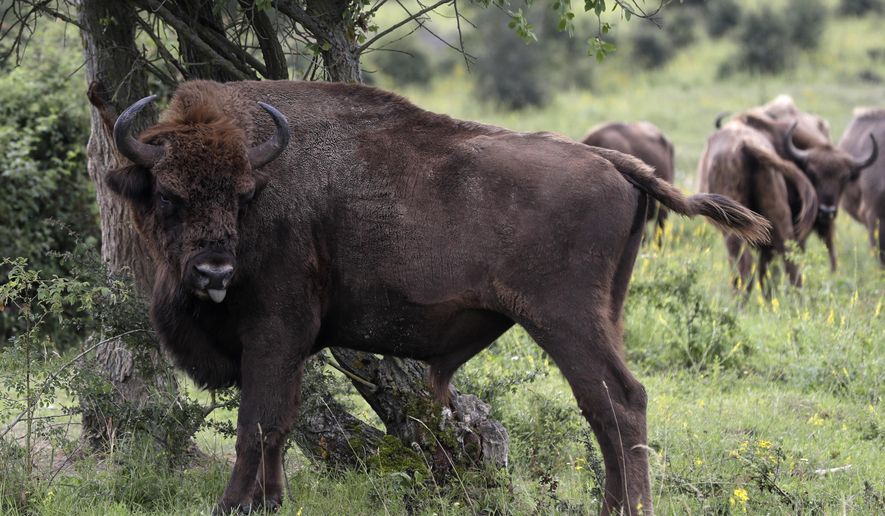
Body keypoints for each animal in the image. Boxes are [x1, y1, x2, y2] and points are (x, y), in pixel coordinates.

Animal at [108, 80, 769, 515]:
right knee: (606, 408)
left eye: (243, 193)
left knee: (619, 401)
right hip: (605, 312)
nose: (214, 269)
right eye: (167, 194)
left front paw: (231, 505)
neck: (268, 182)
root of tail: (608, 159)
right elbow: (280, 423)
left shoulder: (271, 336)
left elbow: (256, 425)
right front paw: (271, 502)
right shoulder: (287, 349)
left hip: (565, 320)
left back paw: (625, 508)